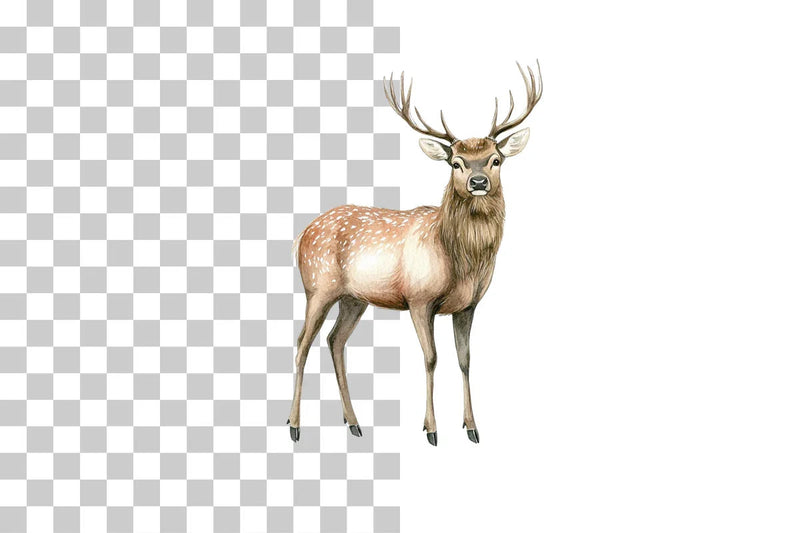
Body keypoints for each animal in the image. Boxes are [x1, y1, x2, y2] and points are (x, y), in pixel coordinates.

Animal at [287, 62, 542, 446]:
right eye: (455, 163)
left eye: (496, 160)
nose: (478, 182)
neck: (461, 261)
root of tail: (302, 234)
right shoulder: (420, 299)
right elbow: (431, 358)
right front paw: (431, 429)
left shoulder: (468, 305)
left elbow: (465, 359)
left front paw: (472, 427)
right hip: (318, 286)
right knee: (303, 342)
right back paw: (294, 426)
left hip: (353, 297)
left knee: (334, 340)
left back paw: (354, 422)